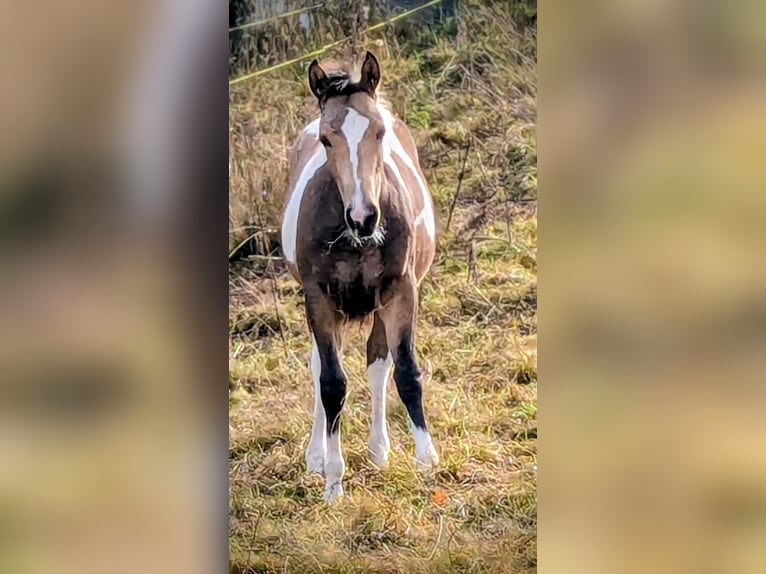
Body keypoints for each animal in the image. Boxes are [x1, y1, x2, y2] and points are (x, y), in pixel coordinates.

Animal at [280, 51, 438, 502]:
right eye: (326, 140)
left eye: (379, 132)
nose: (363, 217)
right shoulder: (318, 297)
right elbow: (332, 382)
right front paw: (333, 478)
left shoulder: (401, 290)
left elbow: (406, 372)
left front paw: (427, 460)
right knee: (319, 366)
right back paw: (317, 456)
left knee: (378, 362)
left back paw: (379, 451)